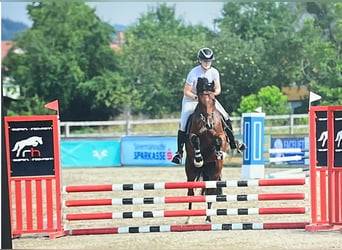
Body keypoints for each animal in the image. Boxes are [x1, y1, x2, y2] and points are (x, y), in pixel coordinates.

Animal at [184, 78, 227, 225]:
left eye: (213, 100)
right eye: (200, 100)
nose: (209, 124)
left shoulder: (221, 135)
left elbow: (219, 140)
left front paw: (219, 152)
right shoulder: (191, 136)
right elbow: (195, 139)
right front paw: (198, 158)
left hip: (214, 171)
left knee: (210, 192)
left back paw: (208, 218)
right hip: (190, 171)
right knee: (190, 193)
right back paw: (188, 218)